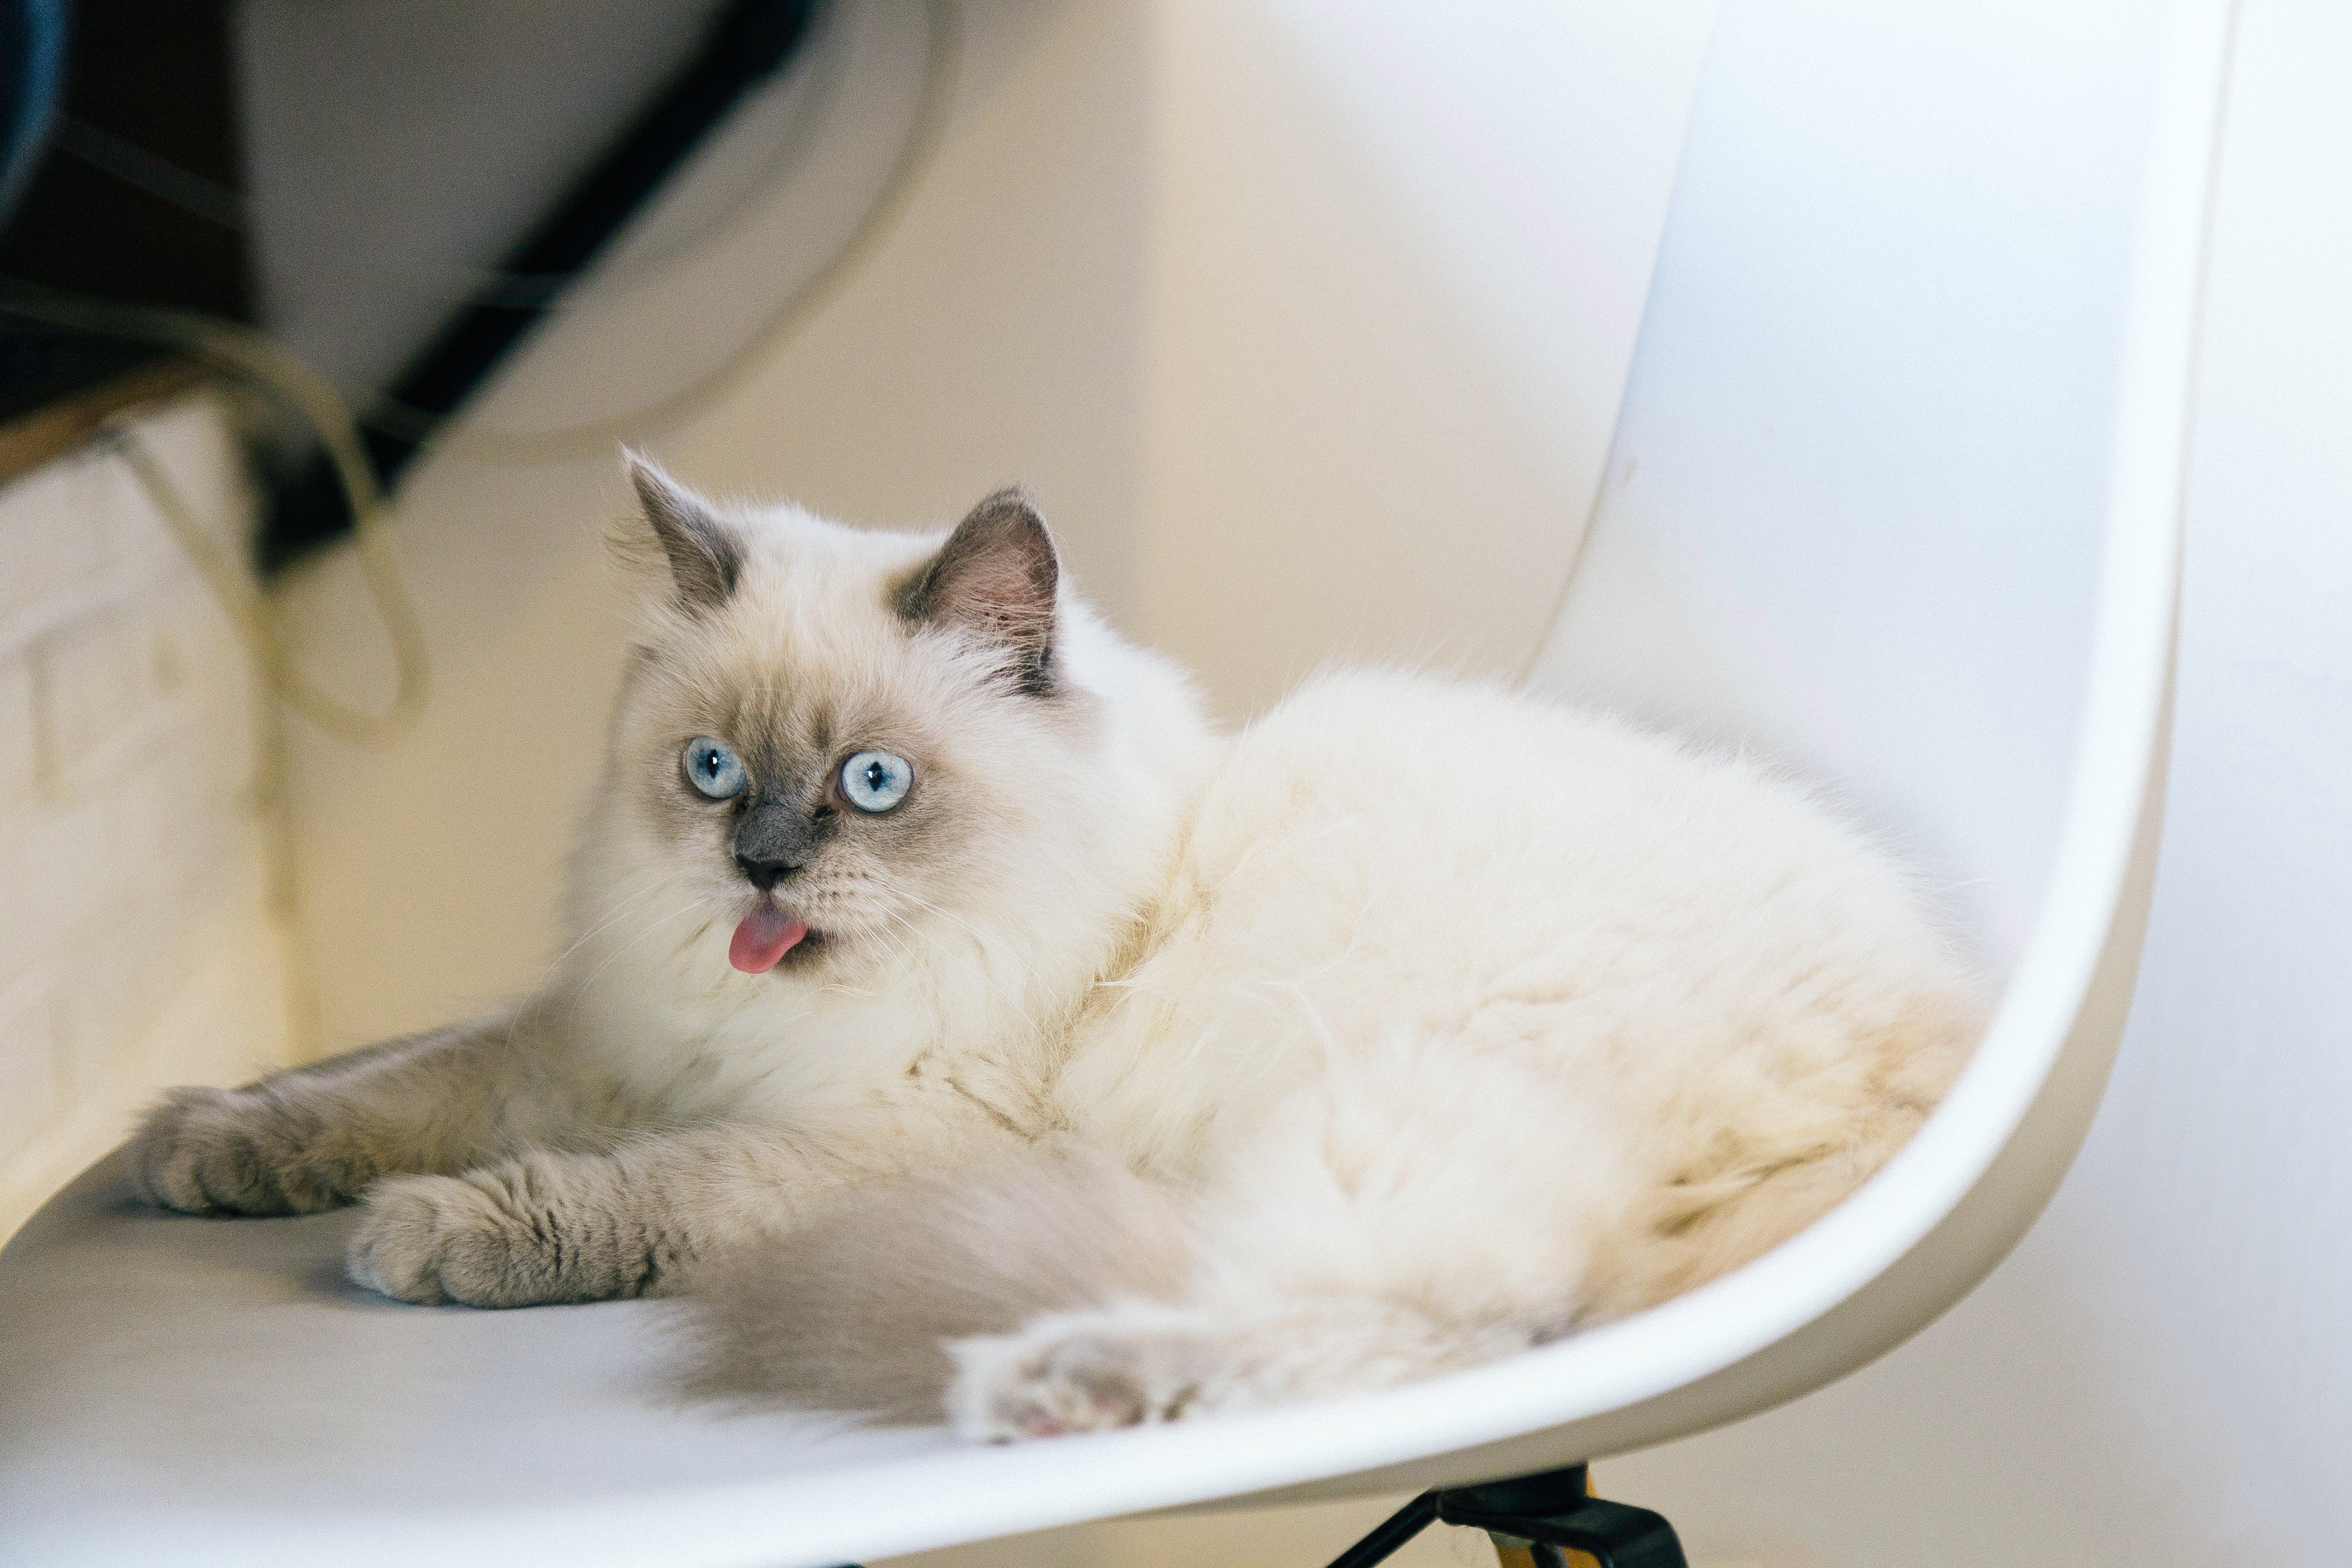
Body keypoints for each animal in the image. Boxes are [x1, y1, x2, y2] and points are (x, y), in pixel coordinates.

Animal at [119, 460, 1975, 1439]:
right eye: (711, 769)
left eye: (874, 784)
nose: (761, 862)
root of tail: (1940, 1031)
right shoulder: (597, 1041)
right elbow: (384, 1086)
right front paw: (196, 1146)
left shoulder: (884, 1138)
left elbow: (624, 1192)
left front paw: (422, 1234)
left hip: (1368, 1129)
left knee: (1445, 1333)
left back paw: (1042, 1377)